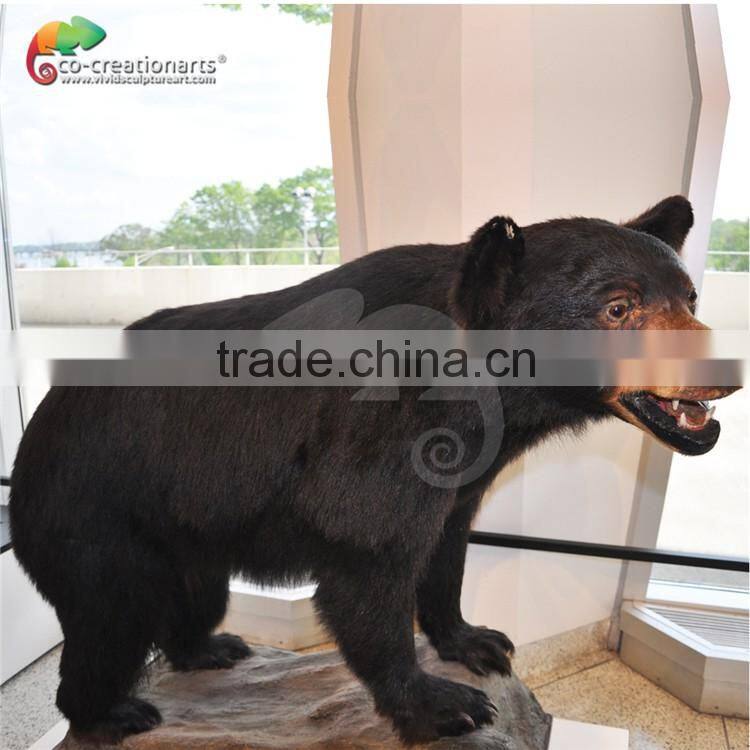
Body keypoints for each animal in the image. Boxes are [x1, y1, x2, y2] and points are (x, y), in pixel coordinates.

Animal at [8, 195, 738, 745]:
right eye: (619, 308)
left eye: (690, 298)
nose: (723, 370)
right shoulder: (378, 433)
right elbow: (365, 555)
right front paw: (442, 704)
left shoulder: (462, 464)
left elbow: (447, 543)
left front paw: (474, 640)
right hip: (95, 517)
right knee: (111, 618)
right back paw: (113, 712)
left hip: (187, 529)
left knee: (194, 599)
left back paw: (210, 649)